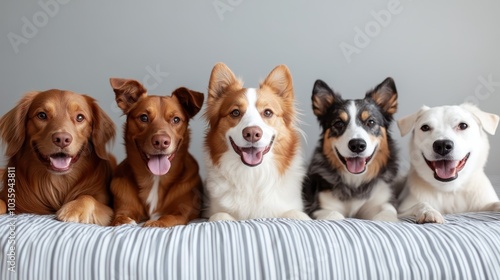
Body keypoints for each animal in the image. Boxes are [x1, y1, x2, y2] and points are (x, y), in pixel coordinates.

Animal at [0, 89, 115, 225]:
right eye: (42, 115)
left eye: (80, 117)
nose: (62, 139)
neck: (57, 182)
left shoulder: (106, 205)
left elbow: (88, 197)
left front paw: (73, 209)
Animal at [109, 77, 203, 226]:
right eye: (144, 118)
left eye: (176, 119)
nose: (161, 142)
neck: (155, 179)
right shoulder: (123, 208)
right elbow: (120, 217)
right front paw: (125, 221)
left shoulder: (183, 212)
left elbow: (169, 217)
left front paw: (156, 223)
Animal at [202, 63, 308, 221]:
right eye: (235, 112)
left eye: (268, 112)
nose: (252, 133)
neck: (253, 175)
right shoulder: (214, 211)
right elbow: (220, 216)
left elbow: (296, 214)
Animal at [300, 77, 402, 221]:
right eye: (338, 123)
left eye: (371, 122)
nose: (357, 145)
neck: (355, 182)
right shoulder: (319, 207)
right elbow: (334, 215)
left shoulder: (382, 201)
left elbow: (387, 213)